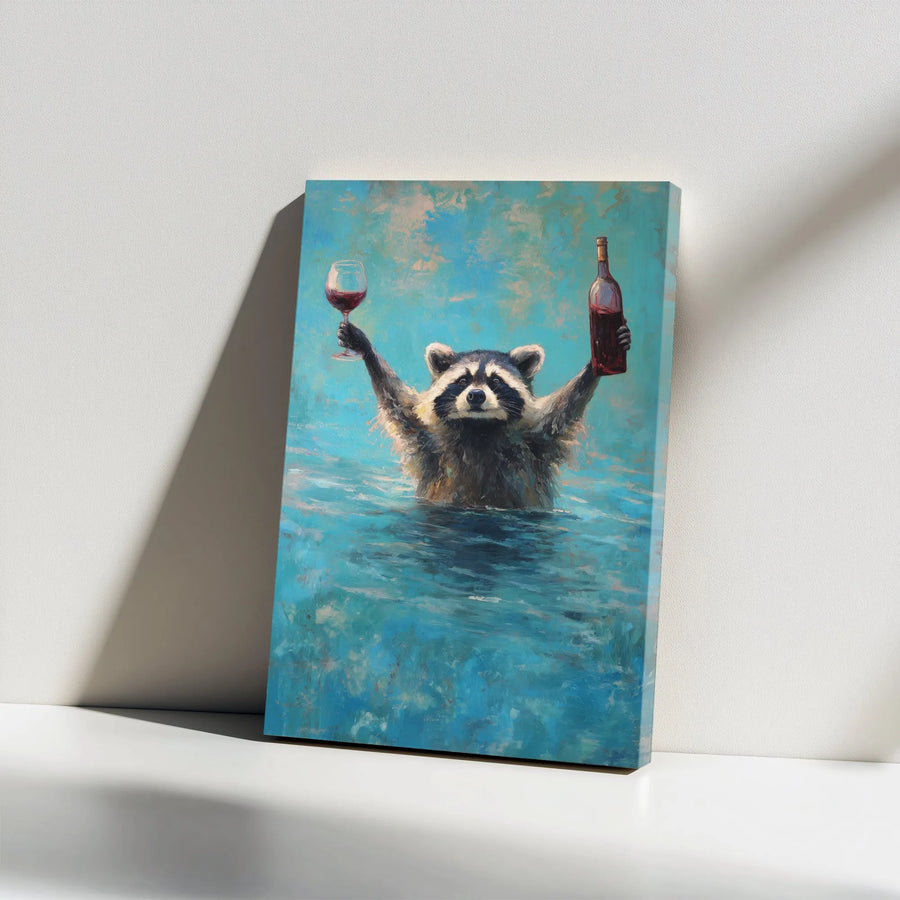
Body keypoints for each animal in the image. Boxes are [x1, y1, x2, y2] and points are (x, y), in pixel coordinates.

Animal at [337, 320, 631, 509]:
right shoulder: (427, 439)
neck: (478, 428)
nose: (476, 396)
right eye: (463, 380)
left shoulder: (538, 440)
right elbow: (396, 401)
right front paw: (365, 348)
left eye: (496, 381)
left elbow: (566, 406)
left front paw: (595, 364)